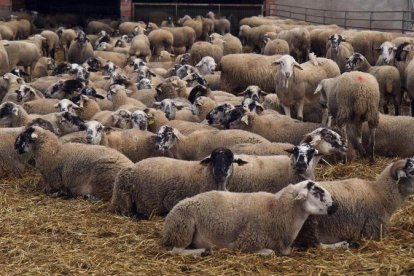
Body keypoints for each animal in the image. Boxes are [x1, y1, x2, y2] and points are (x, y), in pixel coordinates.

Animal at [162, 180, 336, 256]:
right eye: (316, 192)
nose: (335, 206)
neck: (276, 209)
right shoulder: (247, 241)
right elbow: (270, 252)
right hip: (182, 229)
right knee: (176, 250)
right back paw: (203, 251)